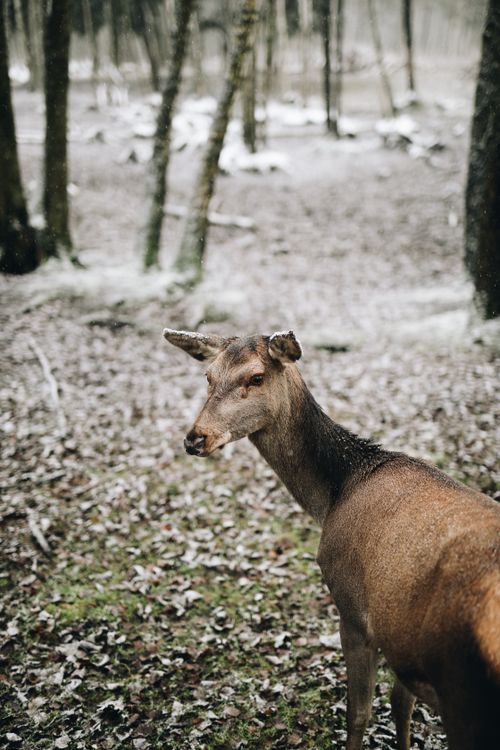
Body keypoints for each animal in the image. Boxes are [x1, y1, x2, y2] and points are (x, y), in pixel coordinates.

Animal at [163, 328, 500, 750]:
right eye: (208, 377)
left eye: (256, 377)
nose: (195, 438)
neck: (334, 494)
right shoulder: (401, 641)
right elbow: (400, 705)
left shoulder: (352, 608)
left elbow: (358, 714)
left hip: (463, 696)